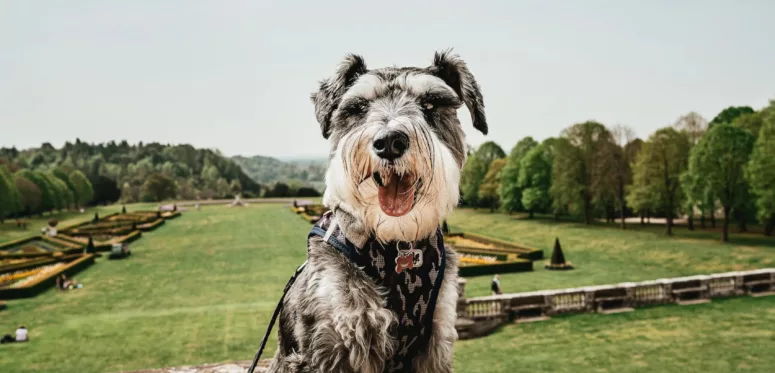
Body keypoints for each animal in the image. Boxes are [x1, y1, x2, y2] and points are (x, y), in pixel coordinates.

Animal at [266, 50, 484, 372]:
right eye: (358, 107)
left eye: (431, 103)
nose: (390, 142)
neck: (395, 242)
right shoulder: (333, 341)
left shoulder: (436, 339)